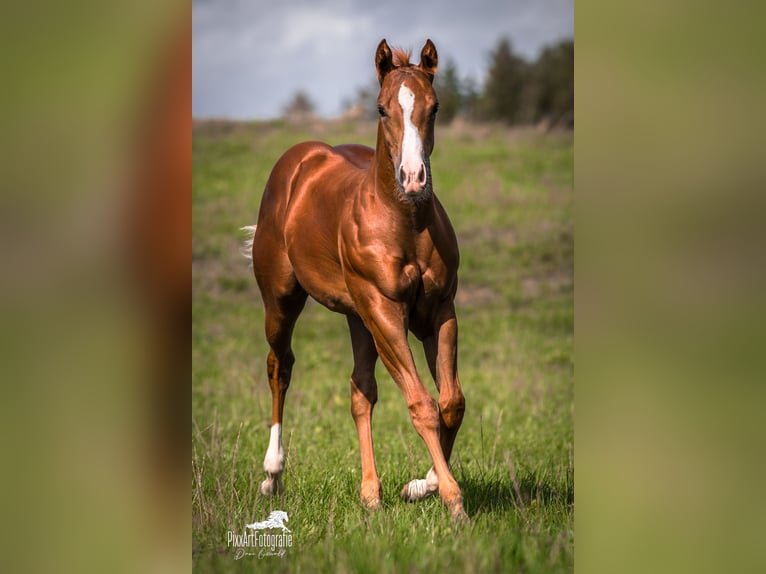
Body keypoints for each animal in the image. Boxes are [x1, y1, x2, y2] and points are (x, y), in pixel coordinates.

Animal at [243, 39, 467, 521]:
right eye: (382, 108)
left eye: (435, 107)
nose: (414, 179)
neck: (405, 222)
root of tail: (299, 161)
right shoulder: (385, 311)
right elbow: (422, 404)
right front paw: (453, 498)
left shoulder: (438, 312)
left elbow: (451, 402)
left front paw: (420, 486)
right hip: (283, 300)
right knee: (279, 366)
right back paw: (272, 475)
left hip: (357, 316)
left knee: (360, 391)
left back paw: (370, 493)